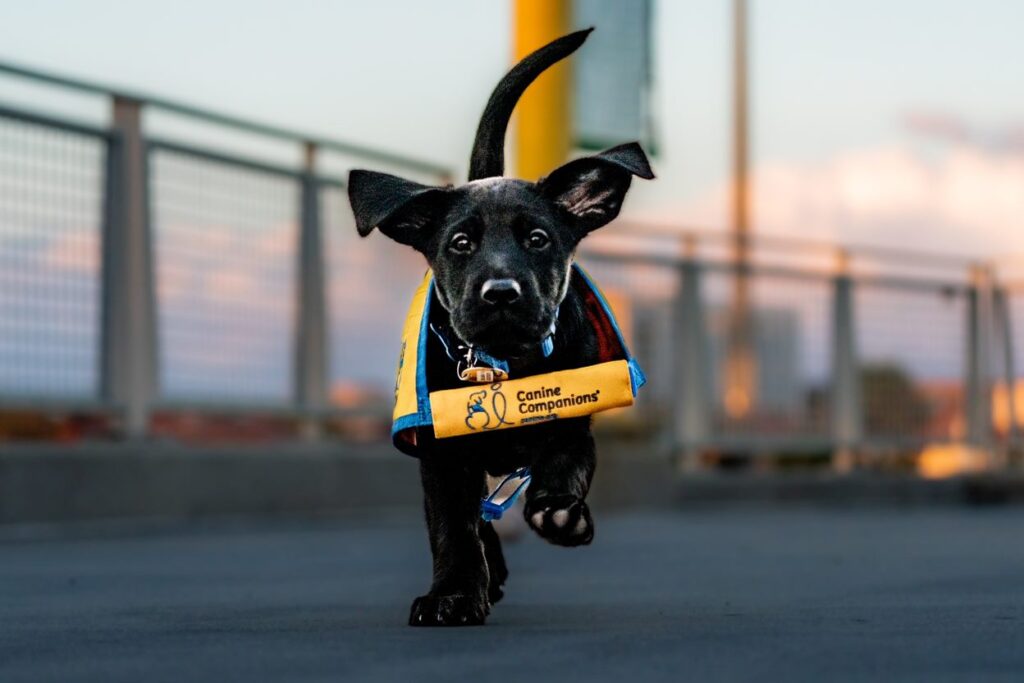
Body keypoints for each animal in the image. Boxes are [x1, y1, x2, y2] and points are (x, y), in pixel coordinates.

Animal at [348, 28, 651, 626]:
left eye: (538, 239)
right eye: (460, 244)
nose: (501, 294)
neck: (507, 366)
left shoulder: (572, 424)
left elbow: (561, 466)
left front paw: (560, 513)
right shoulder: (441, 454)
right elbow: (453, 527)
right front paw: (454, 594)